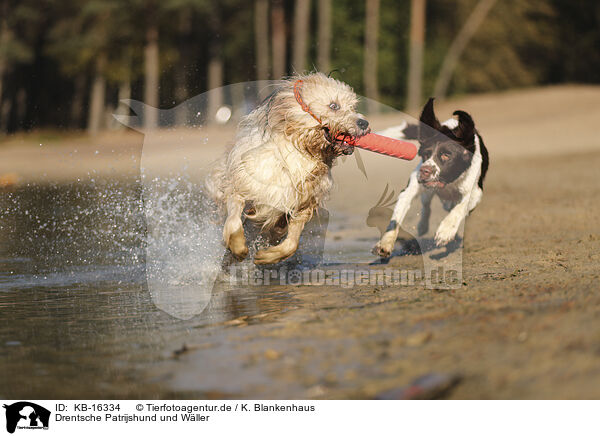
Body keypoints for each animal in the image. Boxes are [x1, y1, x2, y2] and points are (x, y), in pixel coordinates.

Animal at [206, 72, 368, 262]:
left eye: (353, 106)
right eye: (334, 106)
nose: (364, 123)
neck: (301, 151)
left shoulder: (303, 204)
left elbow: (291, 243)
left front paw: (268, 256)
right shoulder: (242, 185)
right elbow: (233, 220)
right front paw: (238, 247)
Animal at [376, 97, 488, 258]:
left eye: (446, 155)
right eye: (425, 154)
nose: (424, 171)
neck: (449, 182)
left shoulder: (475, 191)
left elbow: (461, 206)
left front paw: (445, 231)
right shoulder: (410, 189)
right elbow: (396, 219)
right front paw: (385, 243)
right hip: (426, 191)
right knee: (426, 205)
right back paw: (422, 226)